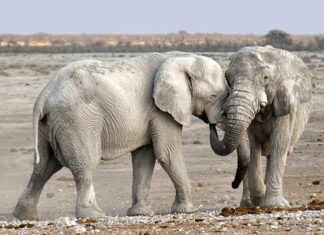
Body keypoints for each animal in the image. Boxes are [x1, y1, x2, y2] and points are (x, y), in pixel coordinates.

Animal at [13, 51, 228, 220]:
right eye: (213, 96)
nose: (213, 123)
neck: (181, 58)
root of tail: (45, 93)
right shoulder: (160, 110)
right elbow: (167, 154)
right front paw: (187, 210)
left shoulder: (151, 114)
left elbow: (144, 157)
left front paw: (141, 213)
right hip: (77, 120)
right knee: (84, 164)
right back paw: (94, 215)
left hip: (51, 124)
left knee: (44, 166)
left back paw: (24, 216)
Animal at [209, 45, 312, 207]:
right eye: (228, 79)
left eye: (266, 78)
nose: (213, 123)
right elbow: (252, 146)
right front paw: (259, 199)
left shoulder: (285, 106)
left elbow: (280, 144)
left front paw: (274, 205)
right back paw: (248, 203)